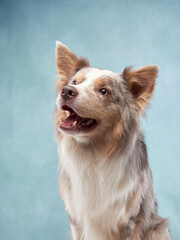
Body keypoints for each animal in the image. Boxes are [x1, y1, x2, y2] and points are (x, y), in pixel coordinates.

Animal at [54, 41, 171, 240]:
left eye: (104, 91)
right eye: (75, 82)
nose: (67, 91)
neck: (94, 152)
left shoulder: (129, 220)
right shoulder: (76, 220)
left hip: (159, 228)